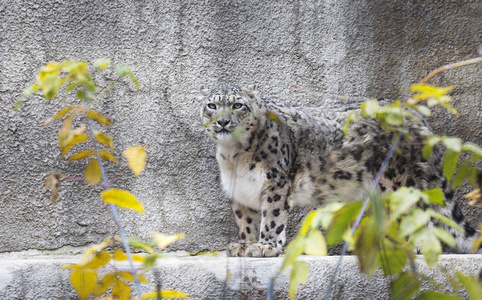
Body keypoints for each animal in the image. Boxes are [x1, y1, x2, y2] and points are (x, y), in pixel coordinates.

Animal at [199, 85, 478, 258]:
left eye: (237, 105)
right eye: (212, 105)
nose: (222, 121)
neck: (234, 156)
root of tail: (415, 115)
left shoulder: (275, 181)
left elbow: (272, 216)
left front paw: (265, 246)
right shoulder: (239, 189)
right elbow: (245, 220)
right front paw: (244, 245)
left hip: (398, 180)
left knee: (417, 212)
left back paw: (415, 245)